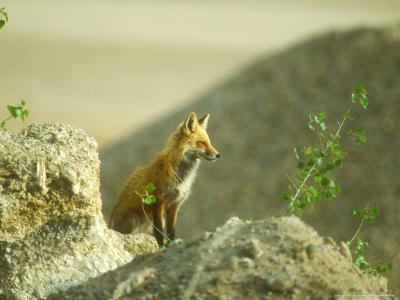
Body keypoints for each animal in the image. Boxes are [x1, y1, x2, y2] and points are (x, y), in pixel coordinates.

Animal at [108, 111, 219, 245]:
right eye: (202, 142)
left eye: (209, 142)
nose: (218, 155)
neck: (180, 176)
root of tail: (108, 224)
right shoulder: (158, 203)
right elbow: (159, 233)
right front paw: (161, 246)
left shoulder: (175, 205)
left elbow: (171, 232)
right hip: (133, 219)